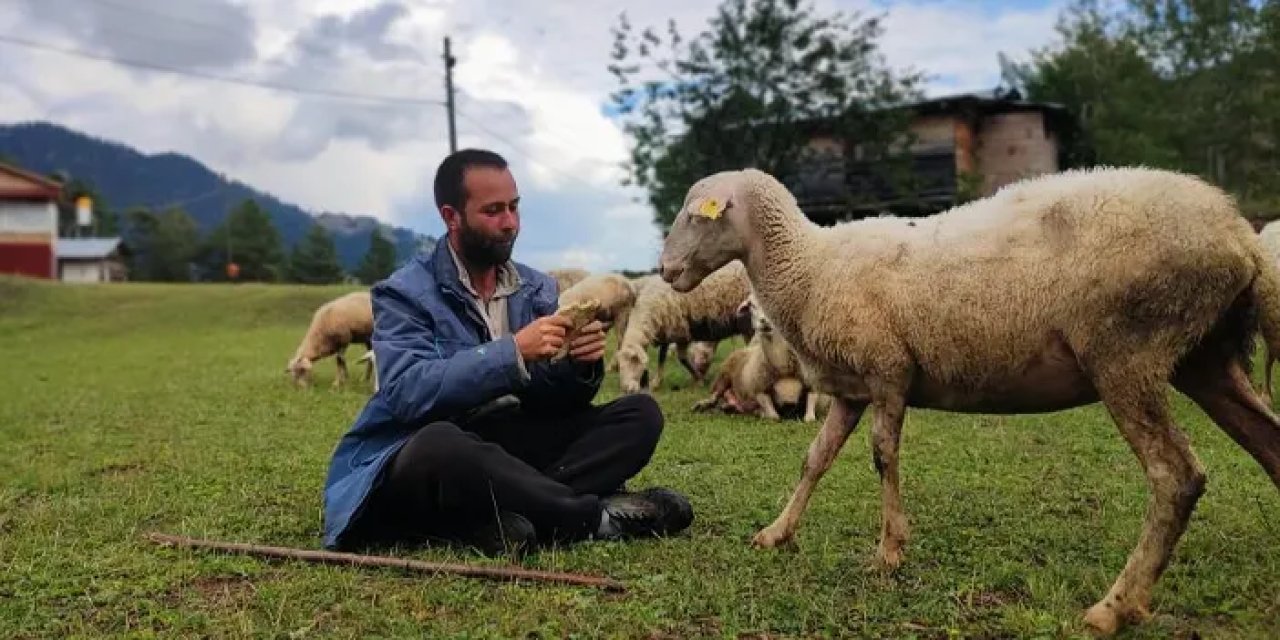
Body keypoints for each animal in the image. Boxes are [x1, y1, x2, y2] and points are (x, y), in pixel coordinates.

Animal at [616, 258, 752, 391]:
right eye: (620, 366)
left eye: (634, 361)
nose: (627, 389)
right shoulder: (670, 330)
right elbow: (668, 358)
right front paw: (658, 382)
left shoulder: (679, 330)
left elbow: (675, 358)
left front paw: (698, 379)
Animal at [655, 165, 1280, 634]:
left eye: (694, 213)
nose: (664, 270)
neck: (807, 264)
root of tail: (1240, 236)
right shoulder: (852, 389)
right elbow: (816, 459)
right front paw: (777, 532)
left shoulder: (888, 372)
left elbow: (883, 455)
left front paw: (889, 551)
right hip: (1204, 359)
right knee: (1268, 446)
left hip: (1127, 353)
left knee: (1176, 476)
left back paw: (1115, 605)